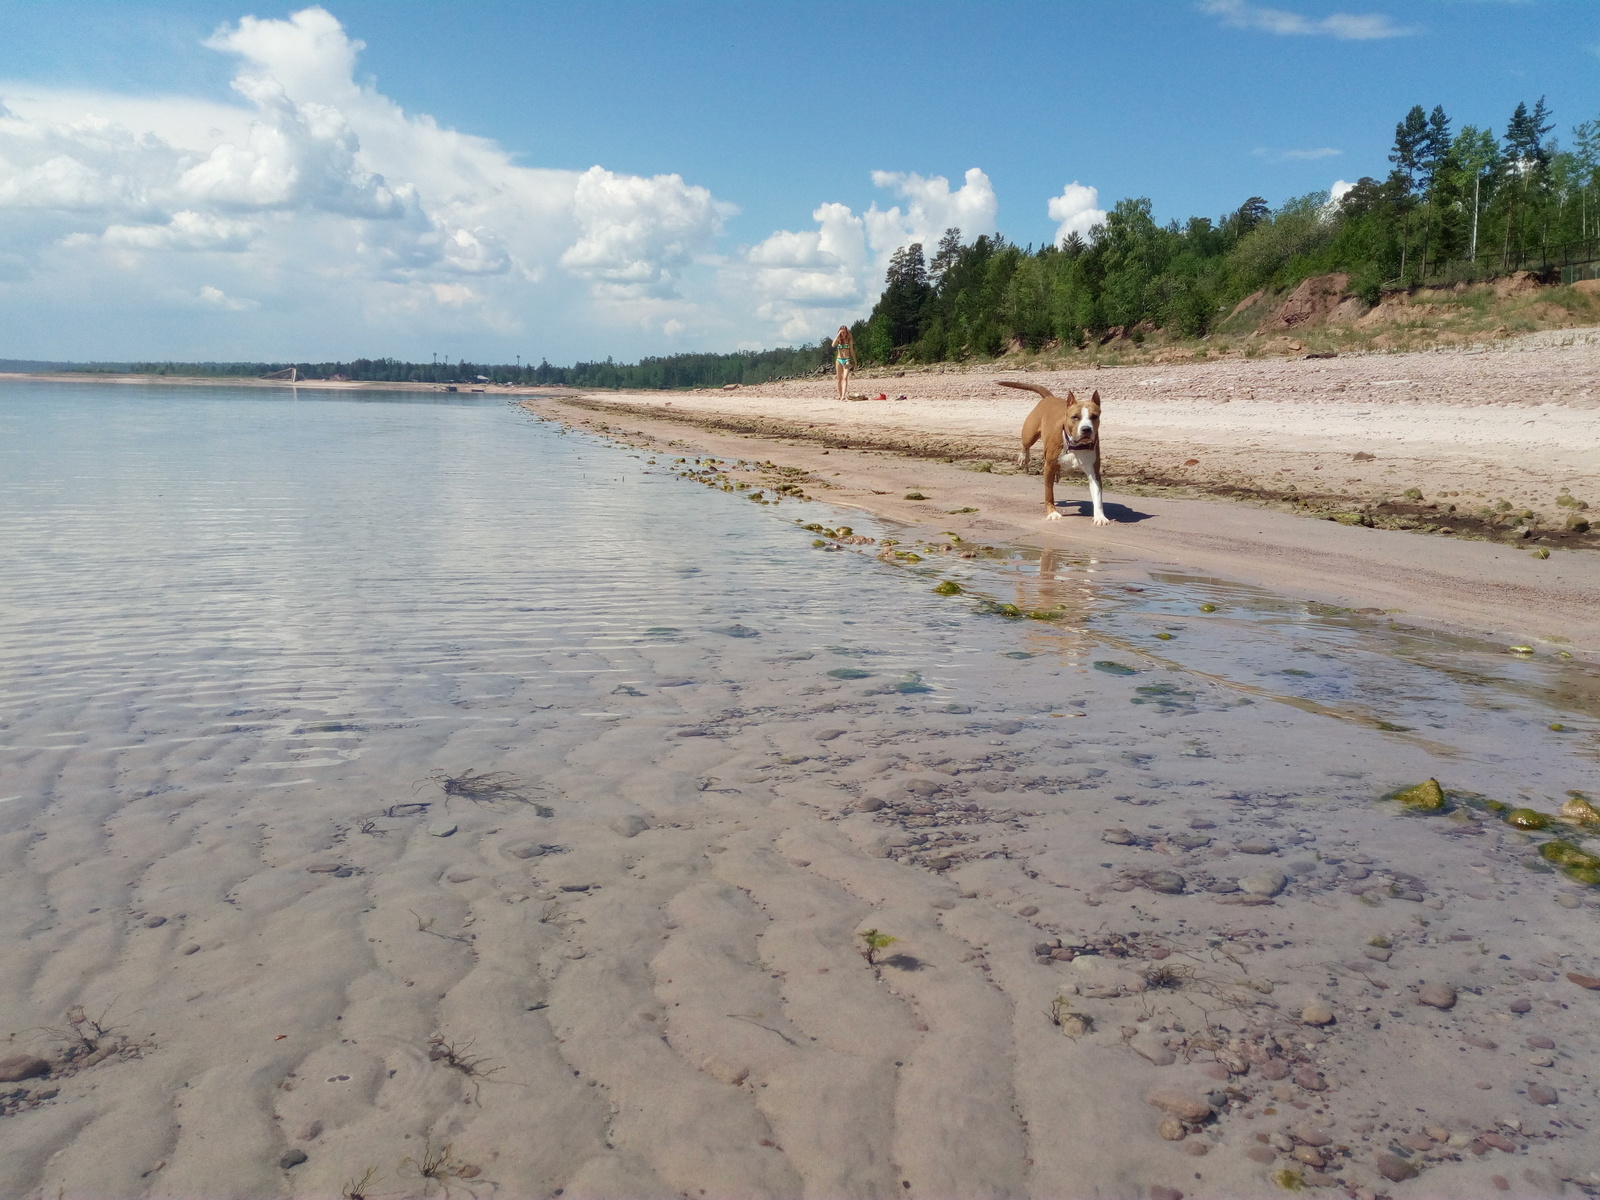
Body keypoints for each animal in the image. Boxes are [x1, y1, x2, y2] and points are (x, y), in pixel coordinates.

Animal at [998, 380, 1113, 521]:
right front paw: (1052, 512)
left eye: (1094, 416)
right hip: (1029, 433)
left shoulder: (1094, 472)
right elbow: (1049, 492)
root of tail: (1049, 397)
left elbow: (1097, 494)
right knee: (1026, 445)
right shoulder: (1048, 467)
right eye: (1075, 417)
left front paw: (1100, 517)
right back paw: (1024, 457)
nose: (1086, 429)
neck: (1074, 446)